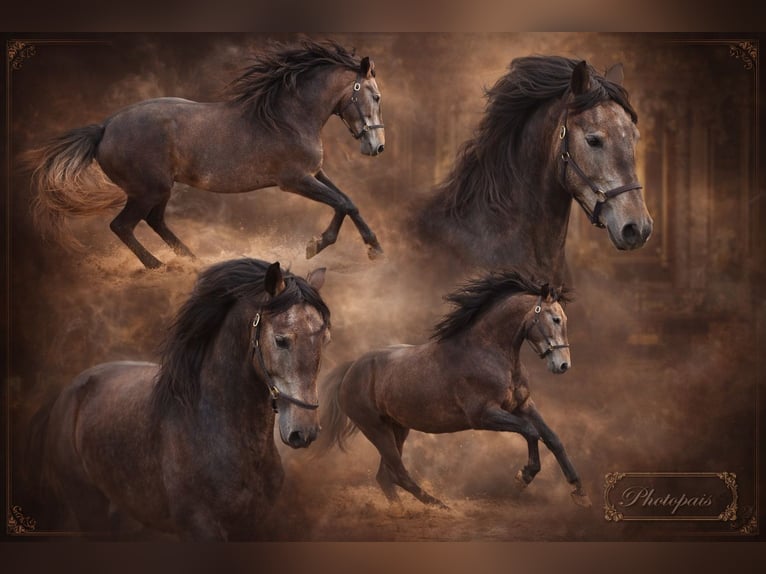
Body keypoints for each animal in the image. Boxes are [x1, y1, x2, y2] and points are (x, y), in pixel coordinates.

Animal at [26, 39, 385, 269]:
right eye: (377, 97)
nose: (377, 147)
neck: (287, 116)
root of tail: (104, 128)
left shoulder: (315, 174)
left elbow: (348, 202)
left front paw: (369, 248)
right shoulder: (295, 180)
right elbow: (342, 203)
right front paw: (323, 246)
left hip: (160, 189)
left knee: (155, 221)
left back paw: (192, 261)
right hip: (148, 190)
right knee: (123, 226)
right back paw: (157, 266)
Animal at [32, 258, 331, 540]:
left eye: (325, 339)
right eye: (281, 340)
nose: (304, 432)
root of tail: (66, 394)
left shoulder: (250, 527)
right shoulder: (199, 527)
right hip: (88, 507)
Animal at [318, 270, 592, 508]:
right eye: (555, 319)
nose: (563, 365)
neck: (488, 352)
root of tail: (351, 369)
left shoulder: (523, 405)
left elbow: (553, 439)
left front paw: (579, 492)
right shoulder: (484, 415)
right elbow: (531, 431)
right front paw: (523, 476)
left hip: (397, 428)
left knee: (385, 476)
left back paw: (402, 510)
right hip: (376, 429)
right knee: (398, 473)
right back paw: (438, 506)